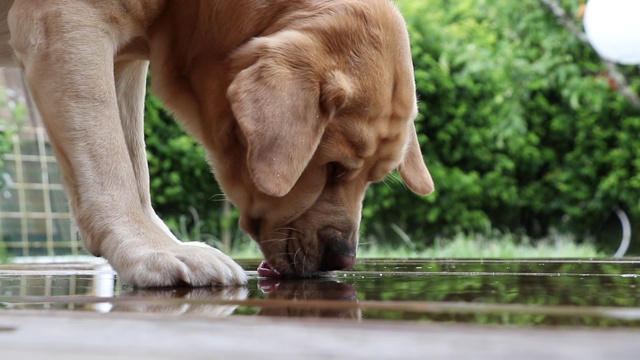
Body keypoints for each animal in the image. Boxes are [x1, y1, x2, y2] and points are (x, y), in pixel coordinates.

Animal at [0, 0, 436, 286]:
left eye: (372, 178)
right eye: (333, 168)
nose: (343, 259)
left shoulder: (123, 60)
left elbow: (134, 165)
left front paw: (160, 241)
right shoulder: (68, 23)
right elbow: (111, 165)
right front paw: (152, 250)